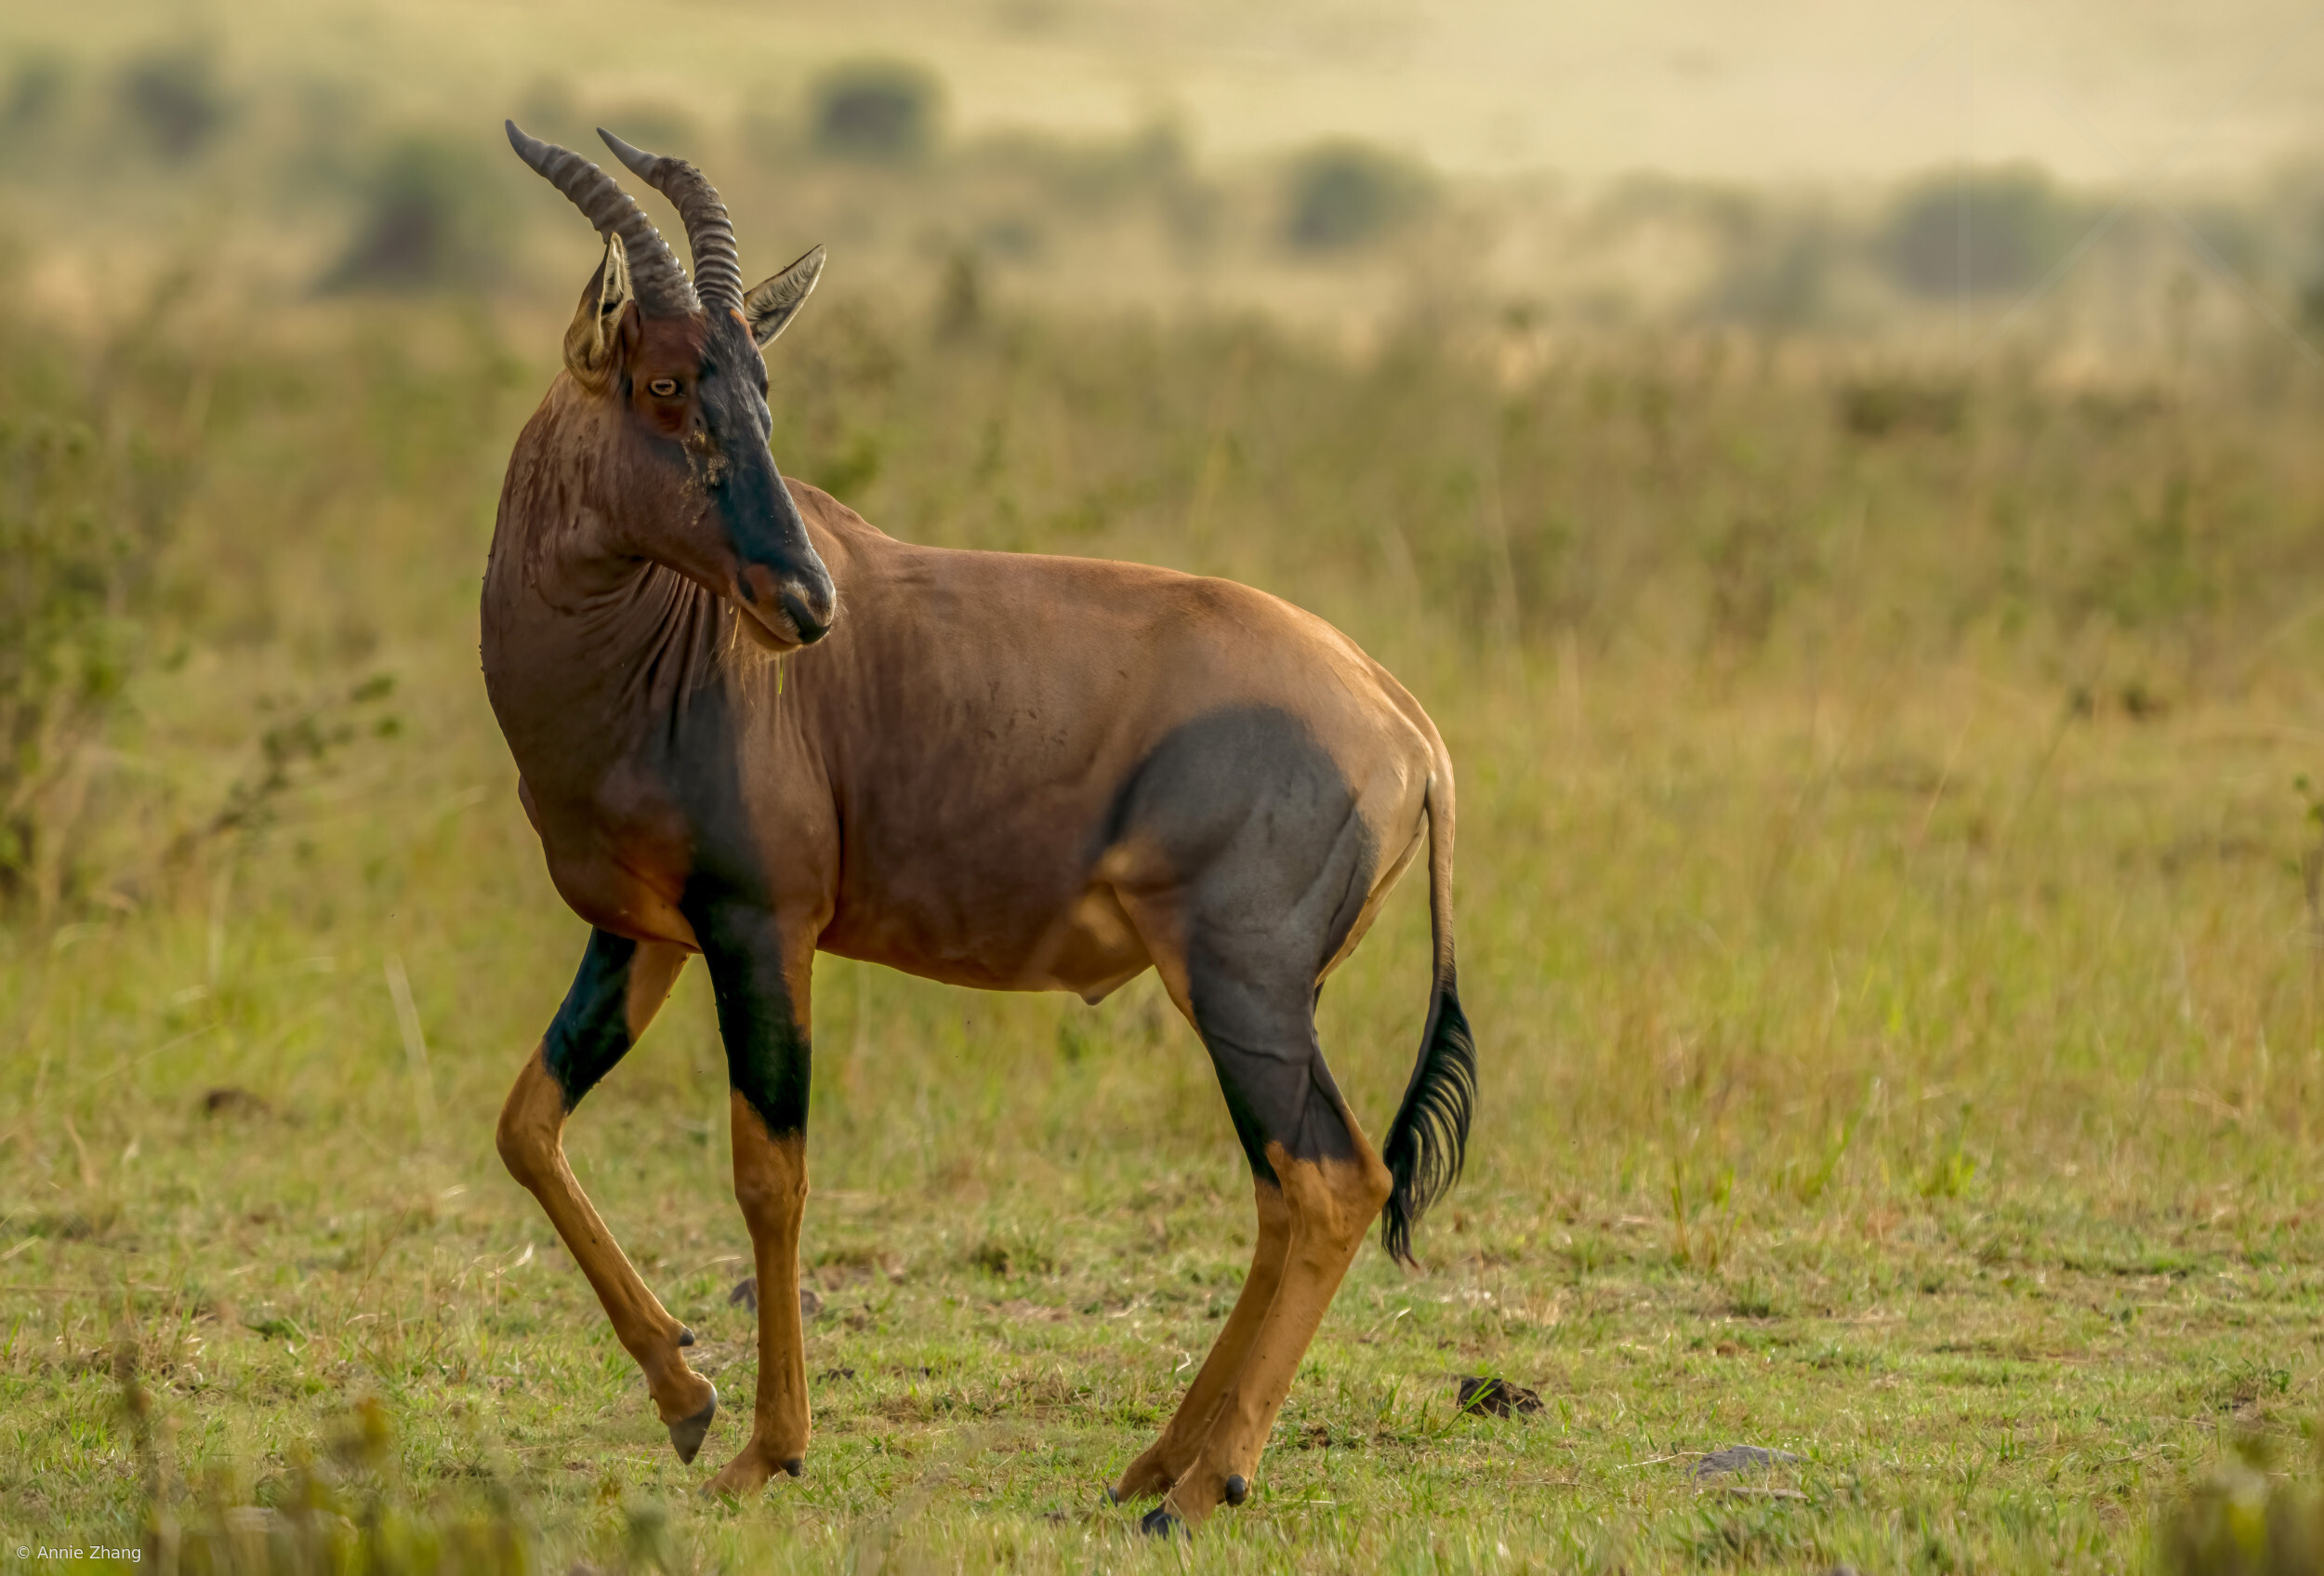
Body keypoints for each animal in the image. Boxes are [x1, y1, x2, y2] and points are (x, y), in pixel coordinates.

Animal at [486, 122, 1475, 1532]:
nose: (807, 602)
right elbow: (529, 1123)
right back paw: (1159, 1460)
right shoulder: (643, 934)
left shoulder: (761, 928)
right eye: (670, 382)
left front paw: (765, 1448)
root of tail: (1405, 722)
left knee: (1336, 1178)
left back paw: (1205, 1481)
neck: (656, 645)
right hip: (1256, 993)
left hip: (1244, 983)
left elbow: (769, 1174)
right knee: (1283, 1190)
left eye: (762, 387)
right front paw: (684, 1394)